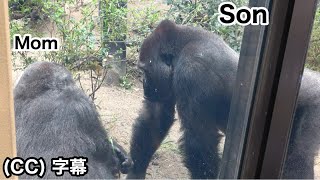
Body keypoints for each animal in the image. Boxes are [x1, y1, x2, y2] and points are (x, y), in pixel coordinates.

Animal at [126, 19, 320, 179]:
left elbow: (200, 140)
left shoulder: (193, 72)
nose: (145, 88)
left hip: (314, 107)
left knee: (298, 158)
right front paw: (137, 171)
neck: (183, 45)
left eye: (144, 71)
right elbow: (156, 117)